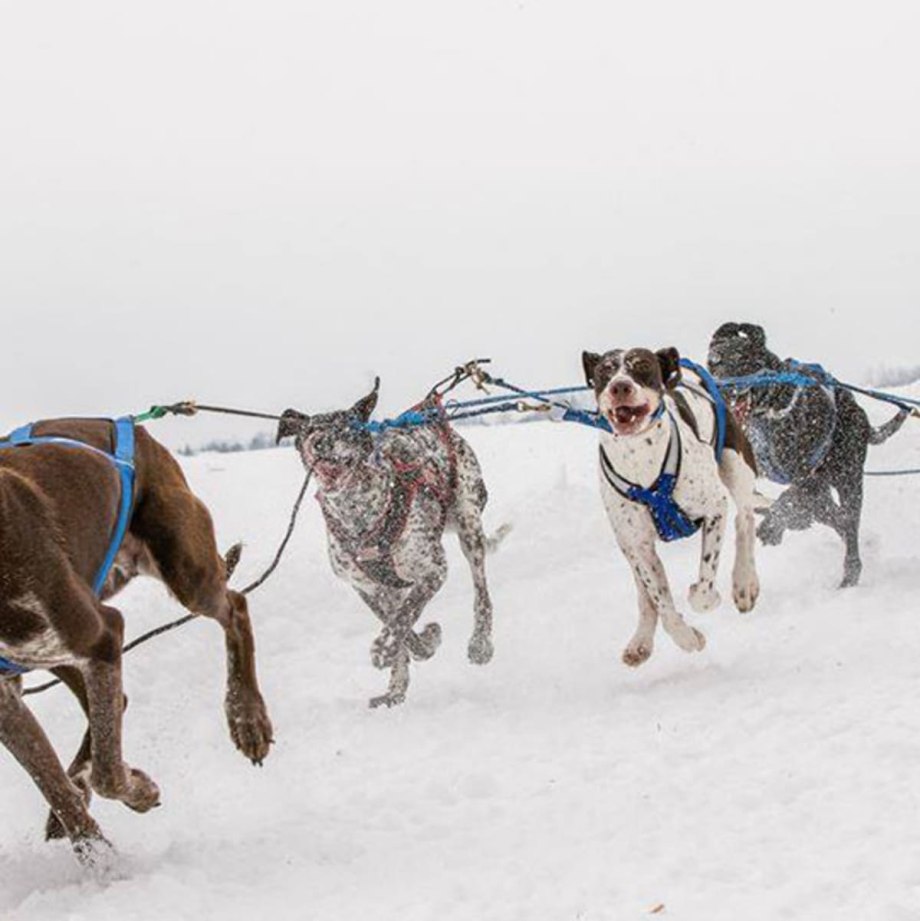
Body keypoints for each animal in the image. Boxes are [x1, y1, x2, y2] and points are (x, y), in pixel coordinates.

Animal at [0, 420, 274, 868]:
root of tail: (131, 425)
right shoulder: (7, 699)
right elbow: (52, 783)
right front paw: (96, 856)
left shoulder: (103, 633)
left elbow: (108, 774)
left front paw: (139, 794)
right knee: (113, 706)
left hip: (183, 570)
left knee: (236, 605)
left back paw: (247, 717)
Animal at [278, 378, 504, 708]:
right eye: (309, 430)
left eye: (345, 426)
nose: (319, 442)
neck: (358, 512)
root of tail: (431, 410)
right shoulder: (368, 588)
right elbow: (401, 628)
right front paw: (423, 645)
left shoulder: (433, 569)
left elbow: (403, 618)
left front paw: (384, 648)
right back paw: (395, 691)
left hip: (469, 526)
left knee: (481, 592)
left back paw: (481, 643)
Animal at [584, 348, 764, 664]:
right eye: (605, 370)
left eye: (642, 366)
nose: (620, 386)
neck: (640, 458)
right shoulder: (639, 545)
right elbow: (661, 600)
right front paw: (687, 637)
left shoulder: (714, 508)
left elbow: (703, 591)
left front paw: (704, 596)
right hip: (626, 545)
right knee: (644, 595)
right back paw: (641, 641)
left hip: (736, 466)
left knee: (744, 520)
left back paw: (744, 583)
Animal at [708, 320, 908, 584]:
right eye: (712, 362)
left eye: (739, 358)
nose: (721, 388)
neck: (771, 406)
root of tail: (862, 417)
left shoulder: (809, 477)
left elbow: (790, 500)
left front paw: (775, 523)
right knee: (835, 517)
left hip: (847, 478)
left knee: (848, 522)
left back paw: (849, 574)